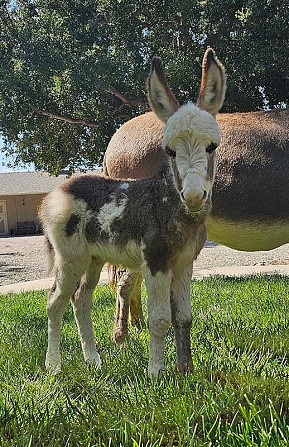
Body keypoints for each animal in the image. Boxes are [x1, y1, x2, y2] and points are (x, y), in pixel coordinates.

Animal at [40, 49, 225, 378]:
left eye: (211, 147)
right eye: (170, 151)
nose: (193, 196)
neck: (170, 203)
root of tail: (58, 192)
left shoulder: (184, 264)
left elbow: (184, 317)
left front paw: (186, 371)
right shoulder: (156, 262)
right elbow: (160, 319)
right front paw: (157, 373)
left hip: (93, 258)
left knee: (81, 300)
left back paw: (93, 360)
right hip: (70, 258)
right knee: (55, 303)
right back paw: (54, 366)